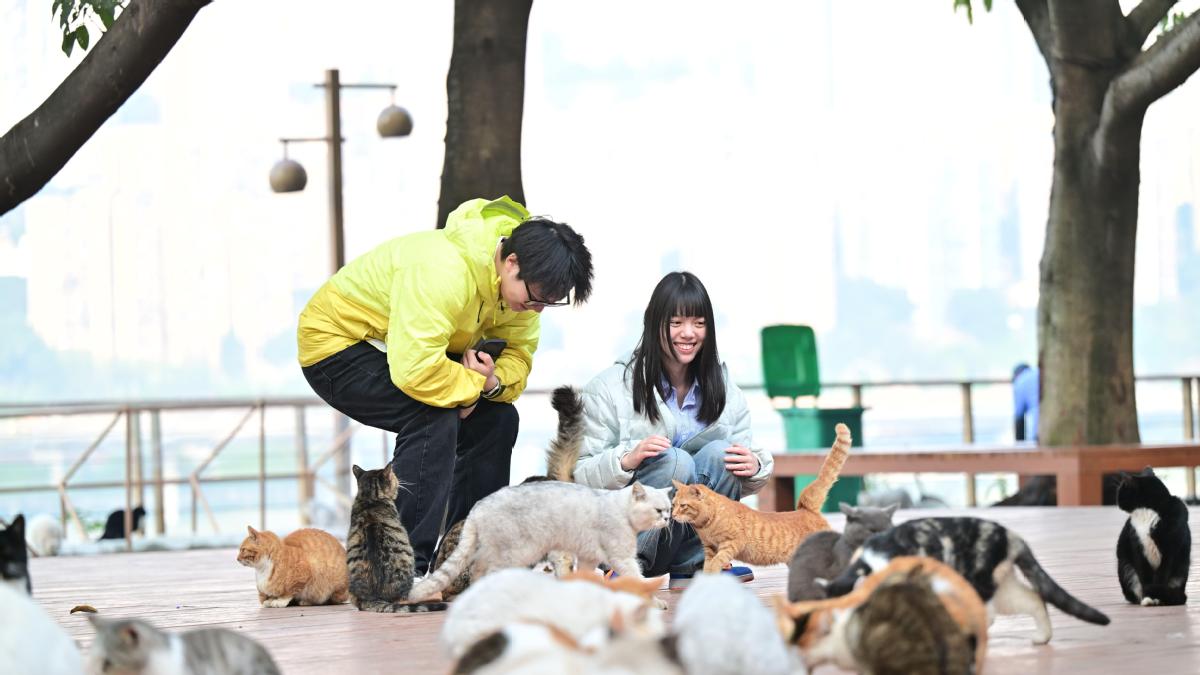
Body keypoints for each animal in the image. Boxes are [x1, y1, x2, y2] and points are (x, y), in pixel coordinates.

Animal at [410, 480, 673, 601]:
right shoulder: (622, 557)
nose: (668, 519)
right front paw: (655, 601)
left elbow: (585, 576)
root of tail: (478, 506)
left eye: (669, 509)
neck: (620, 508)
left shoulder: (588, 557)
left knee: (477, 572)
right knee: (484, 573)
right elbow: (638, 578)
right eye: (659, 510)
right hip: (515, 553)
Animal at [671, 422, 852, 572]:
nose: (672, 515)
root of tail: (806, 508)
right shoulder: (709, 548)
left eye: (683, 506)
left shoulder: (732, 543)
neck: (706, 525)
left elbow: (718, 561)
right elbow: (708, 564)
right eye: (673, 504)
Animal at [826, 516, 1110, 644]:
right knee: (1034, 599)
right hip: (1004, 589)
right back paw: (1042, 637)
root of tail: (1013, 537)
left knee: (988, 615)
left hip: (979, 581)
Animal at [1115, 466, 1191, 606]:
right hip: (1125, 566)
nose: (1117, 501)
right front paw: (1148, 596)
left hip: (1182, 568)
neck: (1146, 511)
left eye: (1121, 491)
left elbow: (1161, 575)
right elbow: (1144, 575)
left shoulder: (1170, 549)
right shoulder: (1137, 546)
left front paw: (1155, 596)